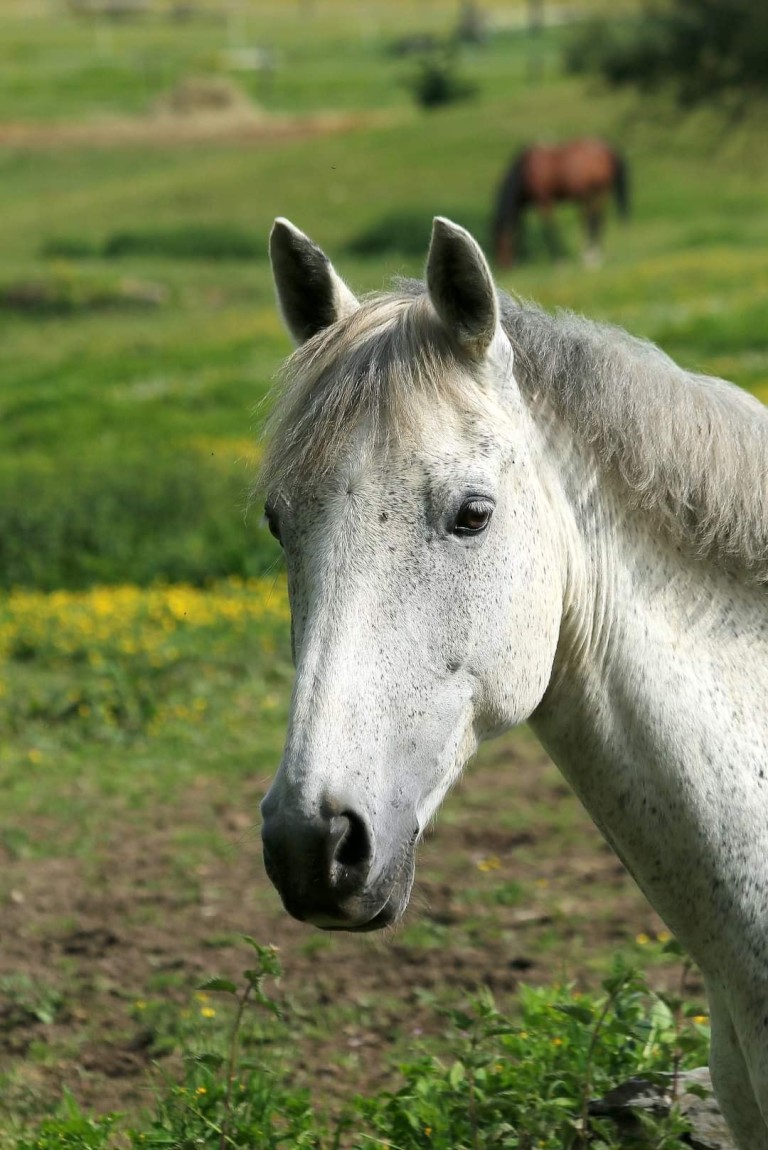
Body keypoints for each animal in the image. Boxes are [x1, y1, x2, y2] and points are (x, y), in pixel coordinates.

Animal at [492, 138, 630, 267]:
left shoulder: (544, 202)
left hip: (595, 194)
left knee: (593, 220)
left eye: (501, 242)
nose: (503, 265)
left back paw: (590, 256)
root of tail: (606, 149)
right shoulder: (525, 205)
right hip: (596, 195)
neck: (525, 171)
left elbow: (549, 229)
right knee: (596, 219)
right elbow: (522, 228)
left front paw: (558, 259)